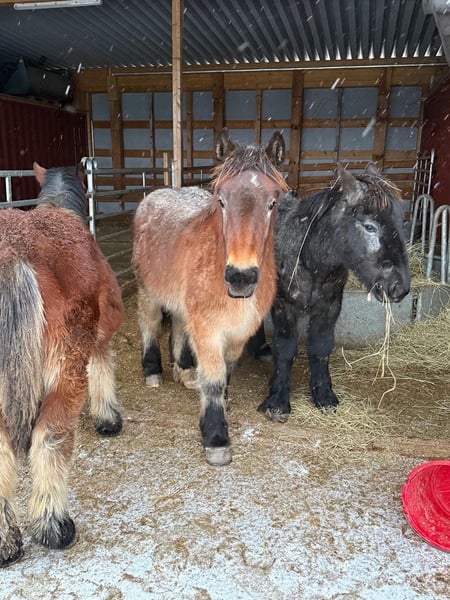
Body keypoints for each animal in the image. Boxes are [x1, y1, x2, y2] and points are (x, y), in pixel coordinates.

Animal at [0, 162, 123, 567]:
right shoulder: (97, 340)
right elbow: (103, 368)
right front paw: (108, 418)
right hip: (64, 373)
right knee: (50, 438)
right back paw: (54, 526)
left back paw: (6, 544)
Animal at [132, 129, 288, 466]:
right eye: (222, 201)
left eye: (272, 202)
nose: (241, 276)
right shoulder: (208, 329)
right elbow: (215, 378)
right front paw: (216, 437)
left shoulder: (239, 333)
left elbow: (226, 373)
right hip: (148, 292)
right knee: (150, 325)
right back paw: (153, 371)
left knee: (178, 326)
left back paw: (184, 370)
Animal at [258, 162, 411, 422]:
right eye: (369, 226)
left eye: (401, 222)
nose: (399, 288)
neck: (310, 259)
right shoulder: (283, 306)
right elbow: (285, 348)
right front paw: (278, 400)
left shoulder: (329, 306)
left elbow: (321, 348)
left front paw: (324, 396)